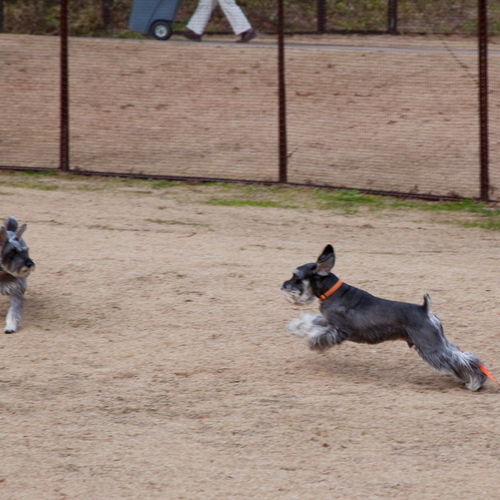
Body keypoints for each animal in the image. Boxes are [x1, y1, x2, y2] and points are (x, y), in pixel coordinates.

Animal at [282, 245, 488, 390]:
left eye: (297, 277)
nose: (283, 286)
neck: (332, 291)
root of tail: (425, 309)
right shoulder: (328, 320)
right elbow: (312, 321)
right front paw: (295, 326)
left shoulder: (338, 330)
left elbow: (318, 335)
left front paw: (310, 340)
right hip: (437, 341)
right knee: (461, 353)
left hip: (430, 347)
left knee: (460, 359)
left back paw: (475, 382)